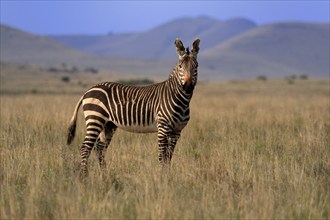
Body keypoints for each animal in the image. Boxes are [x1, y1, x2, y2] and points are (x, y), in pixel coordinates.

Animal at [66, 37, 200, 178]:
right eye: (180, 66)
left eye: (196, 66)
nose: (187, 87)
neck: (180, 100)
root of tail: (88, 91)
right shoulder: (163, 127)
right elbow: (162, 155)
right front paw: (162, 177)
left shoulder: (177, 131)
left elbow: (169, 156)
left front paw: (167, 175)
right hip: (95, 119)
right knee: (85, 147)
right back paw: (84, 176)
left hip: (108, 125)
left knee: (99, 147)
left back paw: (104, 174)